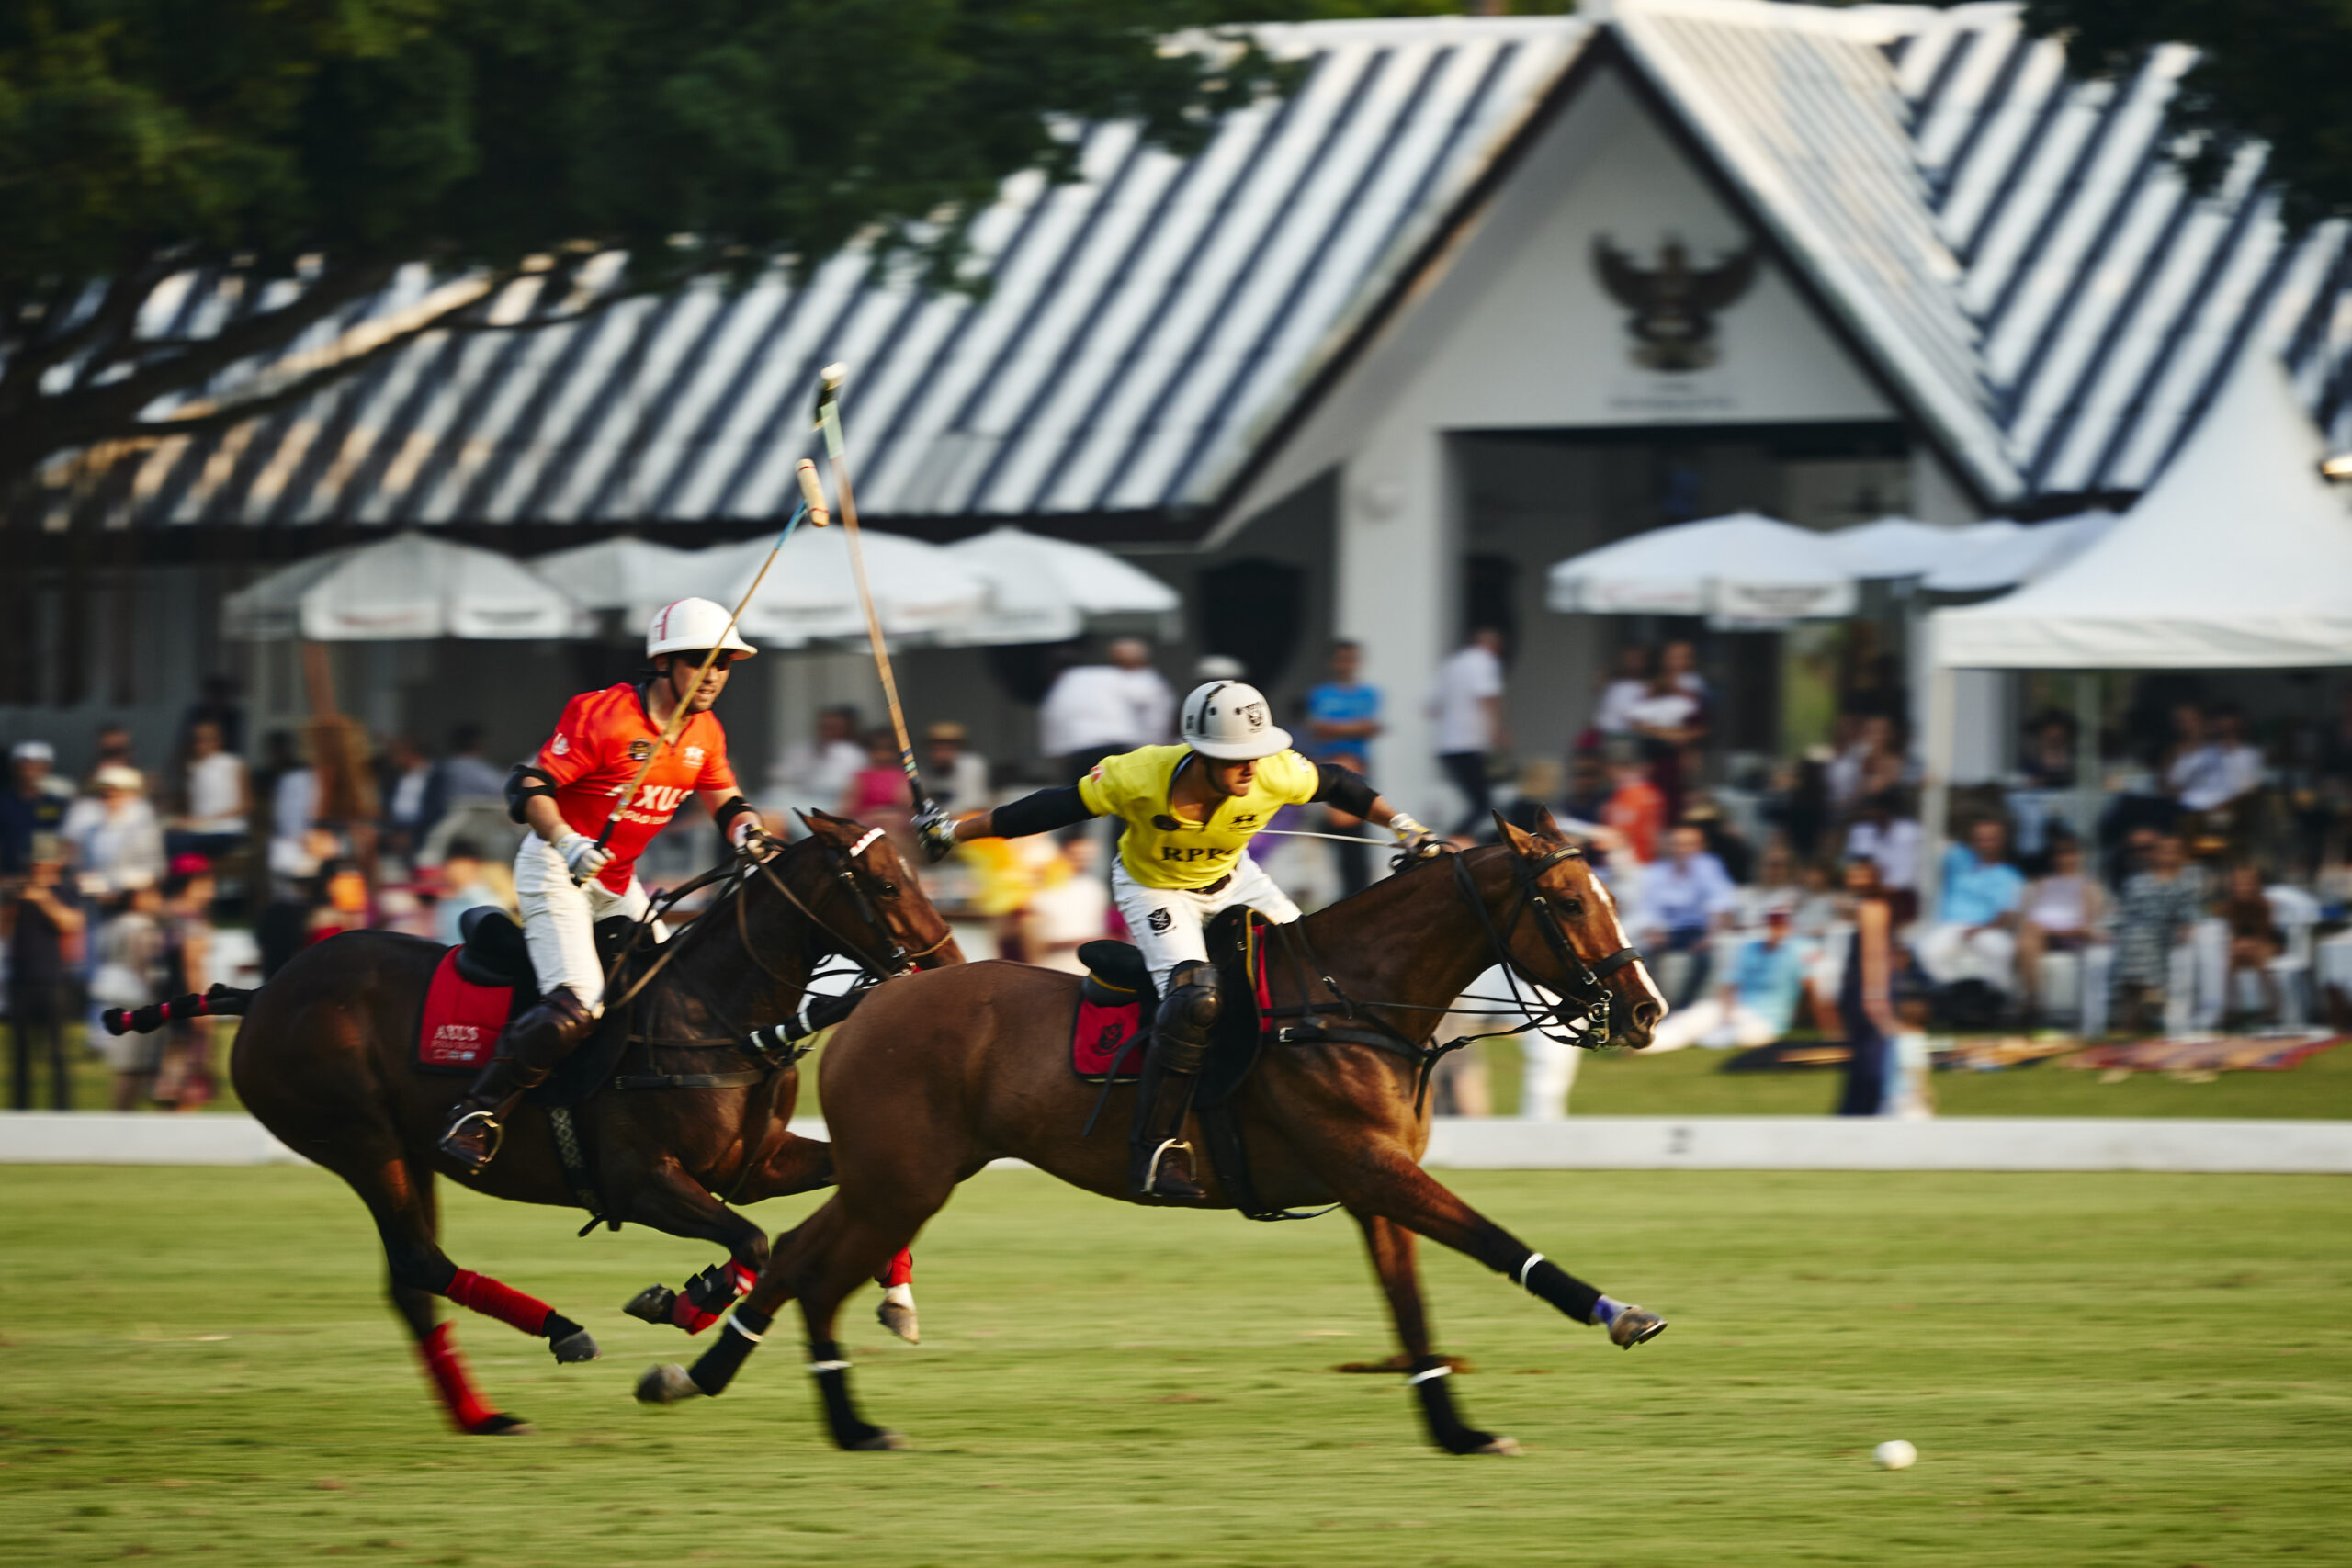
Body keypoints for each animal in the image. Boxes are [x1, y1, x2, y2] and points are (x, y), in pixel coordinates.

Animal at [195, 818, 945, 1438]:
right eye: (885, 883)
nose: (942, 965)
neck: (714, 1013)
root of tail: (262, 992)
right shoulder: (639, 1181)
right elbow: (752, 1242)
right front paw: (686, 1301)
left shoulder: (756, 1164)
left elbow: (844, 1193)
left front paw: (896, 1297)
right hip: (363, 1141)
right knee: (417, 1261)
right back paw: (558, 1331)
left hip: (407, 1151)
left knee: (410, 1278)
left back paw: (483, 1415)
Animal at [639, 818, 1674, 1457]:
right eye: (1569, 903)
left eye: (1604, 893)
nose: (1645, 1011)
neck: (1354, 998)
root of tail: (871, 997)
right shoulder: (1372, 1168)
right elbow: (1498, 1244)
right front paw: (1622, 1313)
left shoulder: (1372, 1187)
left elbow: (1412, 1309)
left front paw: (1458, 1432)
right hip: (904, 1178)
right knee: (814, 1267)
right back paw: (782, 1396)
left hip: (893, 1176)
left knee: (799, 1257)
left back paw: (733, 1384)